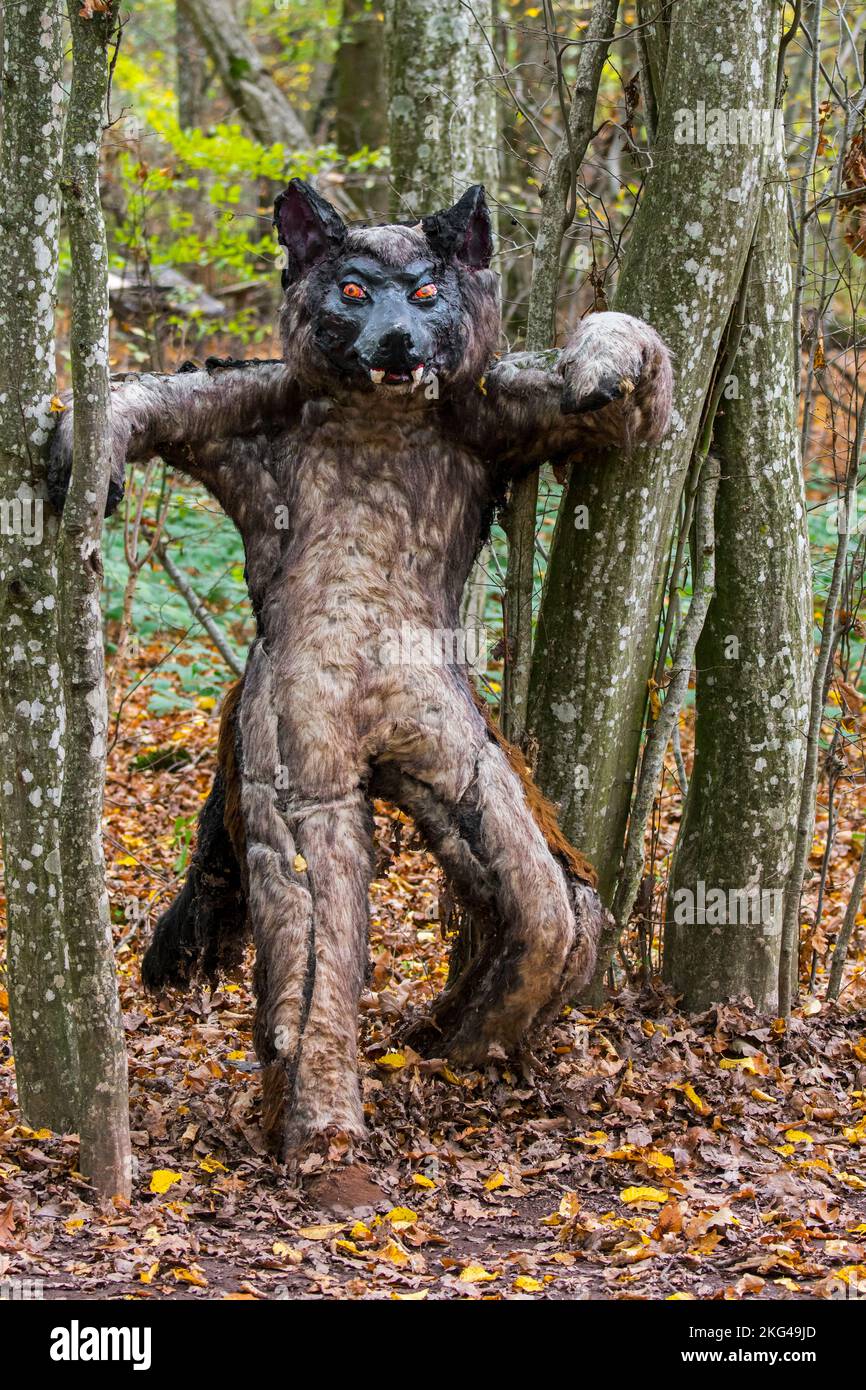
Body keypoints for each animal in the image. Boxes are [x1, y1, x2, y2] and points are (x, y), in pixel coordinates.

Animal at [50, 180, 672, 1162]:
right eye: (350, 291)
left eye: (424, 293)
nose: (397, 342)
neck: (381, 416)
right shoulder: (256, 407)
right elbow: (154, 394)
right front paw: (83, 447)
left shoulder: (495, 419)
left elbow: (629, 404)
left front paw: (598, 354)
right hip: (289, 742)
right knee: (314, 902)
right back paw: (324, 1125)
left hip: (455, 742)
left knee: (548, 908)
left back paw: (457, 1036)